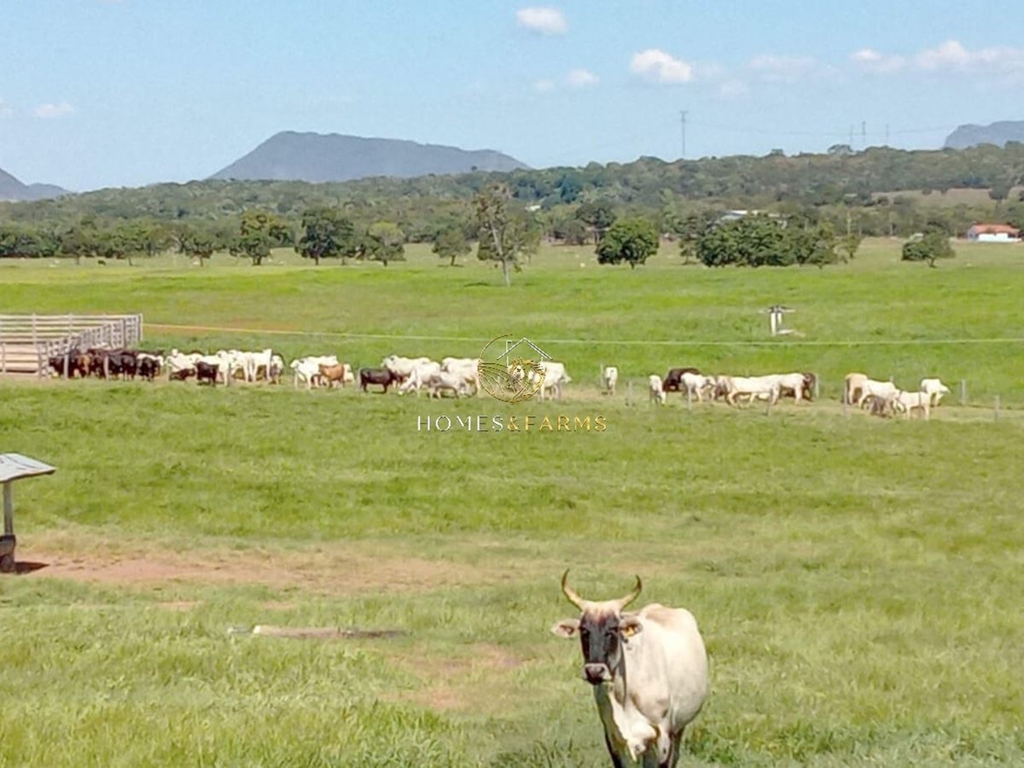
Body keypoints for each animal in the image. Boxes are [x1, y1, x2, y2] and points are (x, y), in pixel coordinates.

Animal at [552, 573, 712, 768]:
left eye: (613, 629)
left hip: (678, 729)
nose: (595, 671)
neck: (625, 694)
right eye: (584, 630)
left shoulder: (663, 735)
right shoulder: (613, 736)